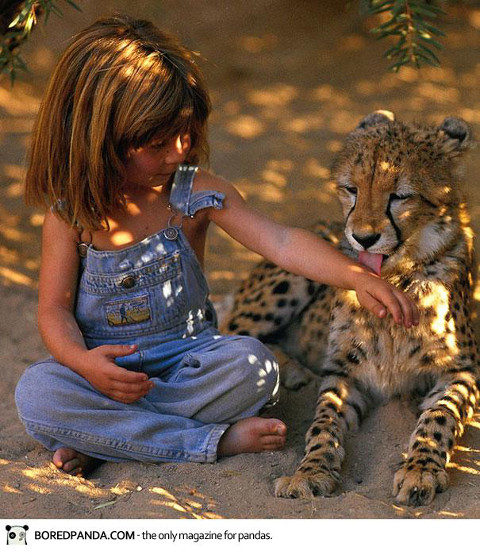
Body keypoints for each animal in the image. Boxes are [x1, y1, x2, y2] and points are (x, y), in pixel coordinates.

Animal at [224, 110, 480, 506]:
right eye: (351, 189)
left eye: (400, 195)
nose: (363, 237)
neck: (393, 282)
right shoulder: (344, 373)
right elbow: (322, 422)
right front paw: (310, 472)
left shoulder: (462, 372)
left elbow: (439, 416)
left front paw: (420, 469)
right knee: (229, 332)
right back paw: (292, 372)